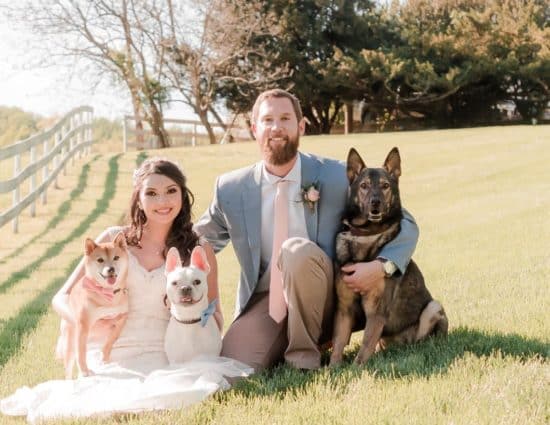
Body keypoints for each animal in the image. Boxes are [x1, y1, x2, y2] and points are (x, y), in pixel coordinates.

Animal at [56, 232, 130, 378]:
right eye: (100, 260)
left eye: (116, 257)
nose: (111, 269)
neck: (107, 294)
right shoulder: (83, 326)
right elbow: (81, 353)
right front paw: (84, 371)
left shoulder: (122, 318)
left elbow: (111, 340)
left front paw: (104, 357)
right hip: (69, 343)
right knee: (68, 369)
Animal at [330, 147, 450, 364]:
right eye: (364, 186)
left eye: (385, 186)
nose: (375, 203)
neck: (366, 233)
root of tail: (402, 344)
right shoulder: (344, 308)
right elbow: (338, 344)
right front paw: (332, 369)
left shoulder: (376, 311)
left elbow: (364, 348)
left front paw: (356, 369)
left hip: (433, 308)